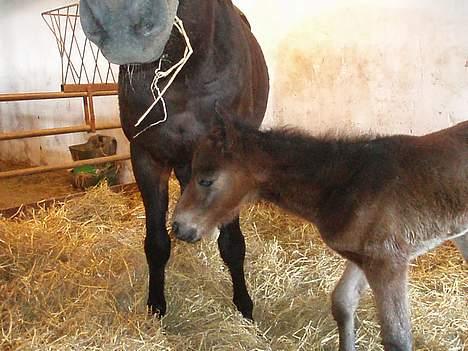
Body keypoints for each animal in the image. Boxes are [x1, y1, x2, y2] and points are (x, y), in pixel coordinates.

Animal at [80, 0, 268, 320]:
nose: (118, 17)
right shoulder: (147, 158)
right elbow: (156, 243)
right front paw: (156, 305)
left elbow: (232, 245)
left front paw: (244, 306)